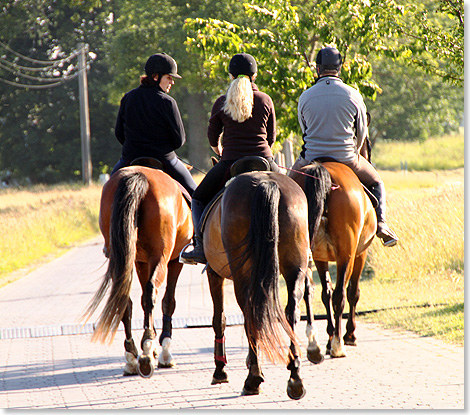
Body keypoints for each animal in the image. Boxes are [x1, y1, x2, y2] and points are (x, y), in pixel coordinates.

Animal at [81, 165, 192, 376]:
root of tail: (138, 175)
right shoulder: (175, 261)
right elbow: (168, 302)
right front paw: (164, 351)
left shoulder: (141, 261)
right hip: (161, 256)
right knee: (151, 292)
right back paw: (147, 349)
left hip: (123, 257)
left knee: (123, 297)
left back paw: (132, 356)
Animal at [200, 168, 322, 400]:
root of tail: (267, 182)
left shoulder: (213, 273)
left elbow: (219, 320)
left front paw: (220, 371)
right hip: (295, 265)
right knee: (291, 310)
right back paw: (295, 376)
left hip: (242, 276)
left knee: (251, 313)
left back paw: (253, 379)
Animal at [290, 161, 378, 360]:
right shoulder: (359, 254)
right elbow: (353, 292)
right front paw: (349, 335)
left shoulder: (319, 258)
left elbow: (325, 293)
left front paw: (329, 339)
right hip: (346, 254)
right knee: (340, 294)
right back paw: (339, 345)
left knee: (308, 290)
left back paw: (314, 345)